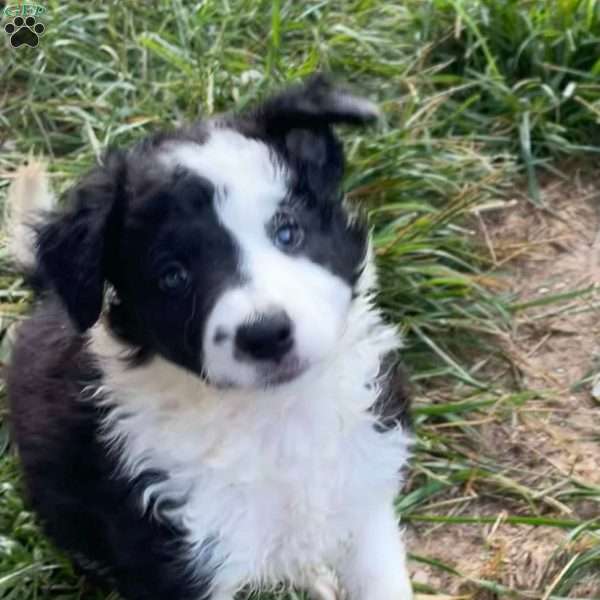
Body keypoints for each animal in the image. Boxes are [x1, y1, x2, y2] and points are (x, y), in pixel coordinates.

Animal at [7, 76, 412, 600]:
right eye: (173, 277)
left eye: (288, 233)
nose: (266, 335)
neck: (272, 418)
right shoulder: (176, 556)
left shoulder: (365, 499)